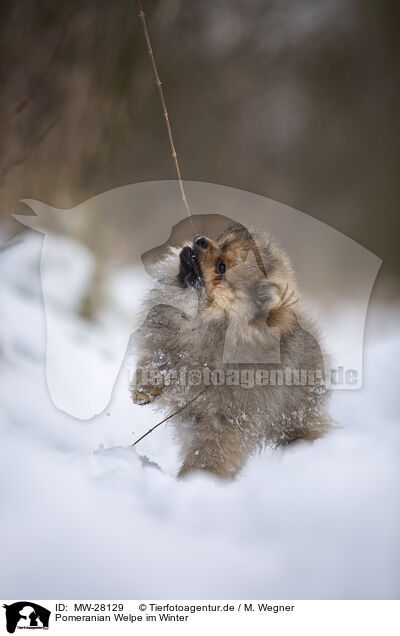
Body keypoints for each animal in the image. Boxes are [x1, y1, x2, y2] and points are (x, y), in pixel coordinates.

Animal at [131, 224, 332, 476]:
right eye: (219, 243)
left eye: (222, 267)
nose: (201, 240)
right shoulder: (166, 345)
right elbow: (156, 363)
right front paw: (144, 389)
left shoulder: (228, 419)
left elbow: (211, 453)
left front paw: (197, 478)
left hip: (296, 415)